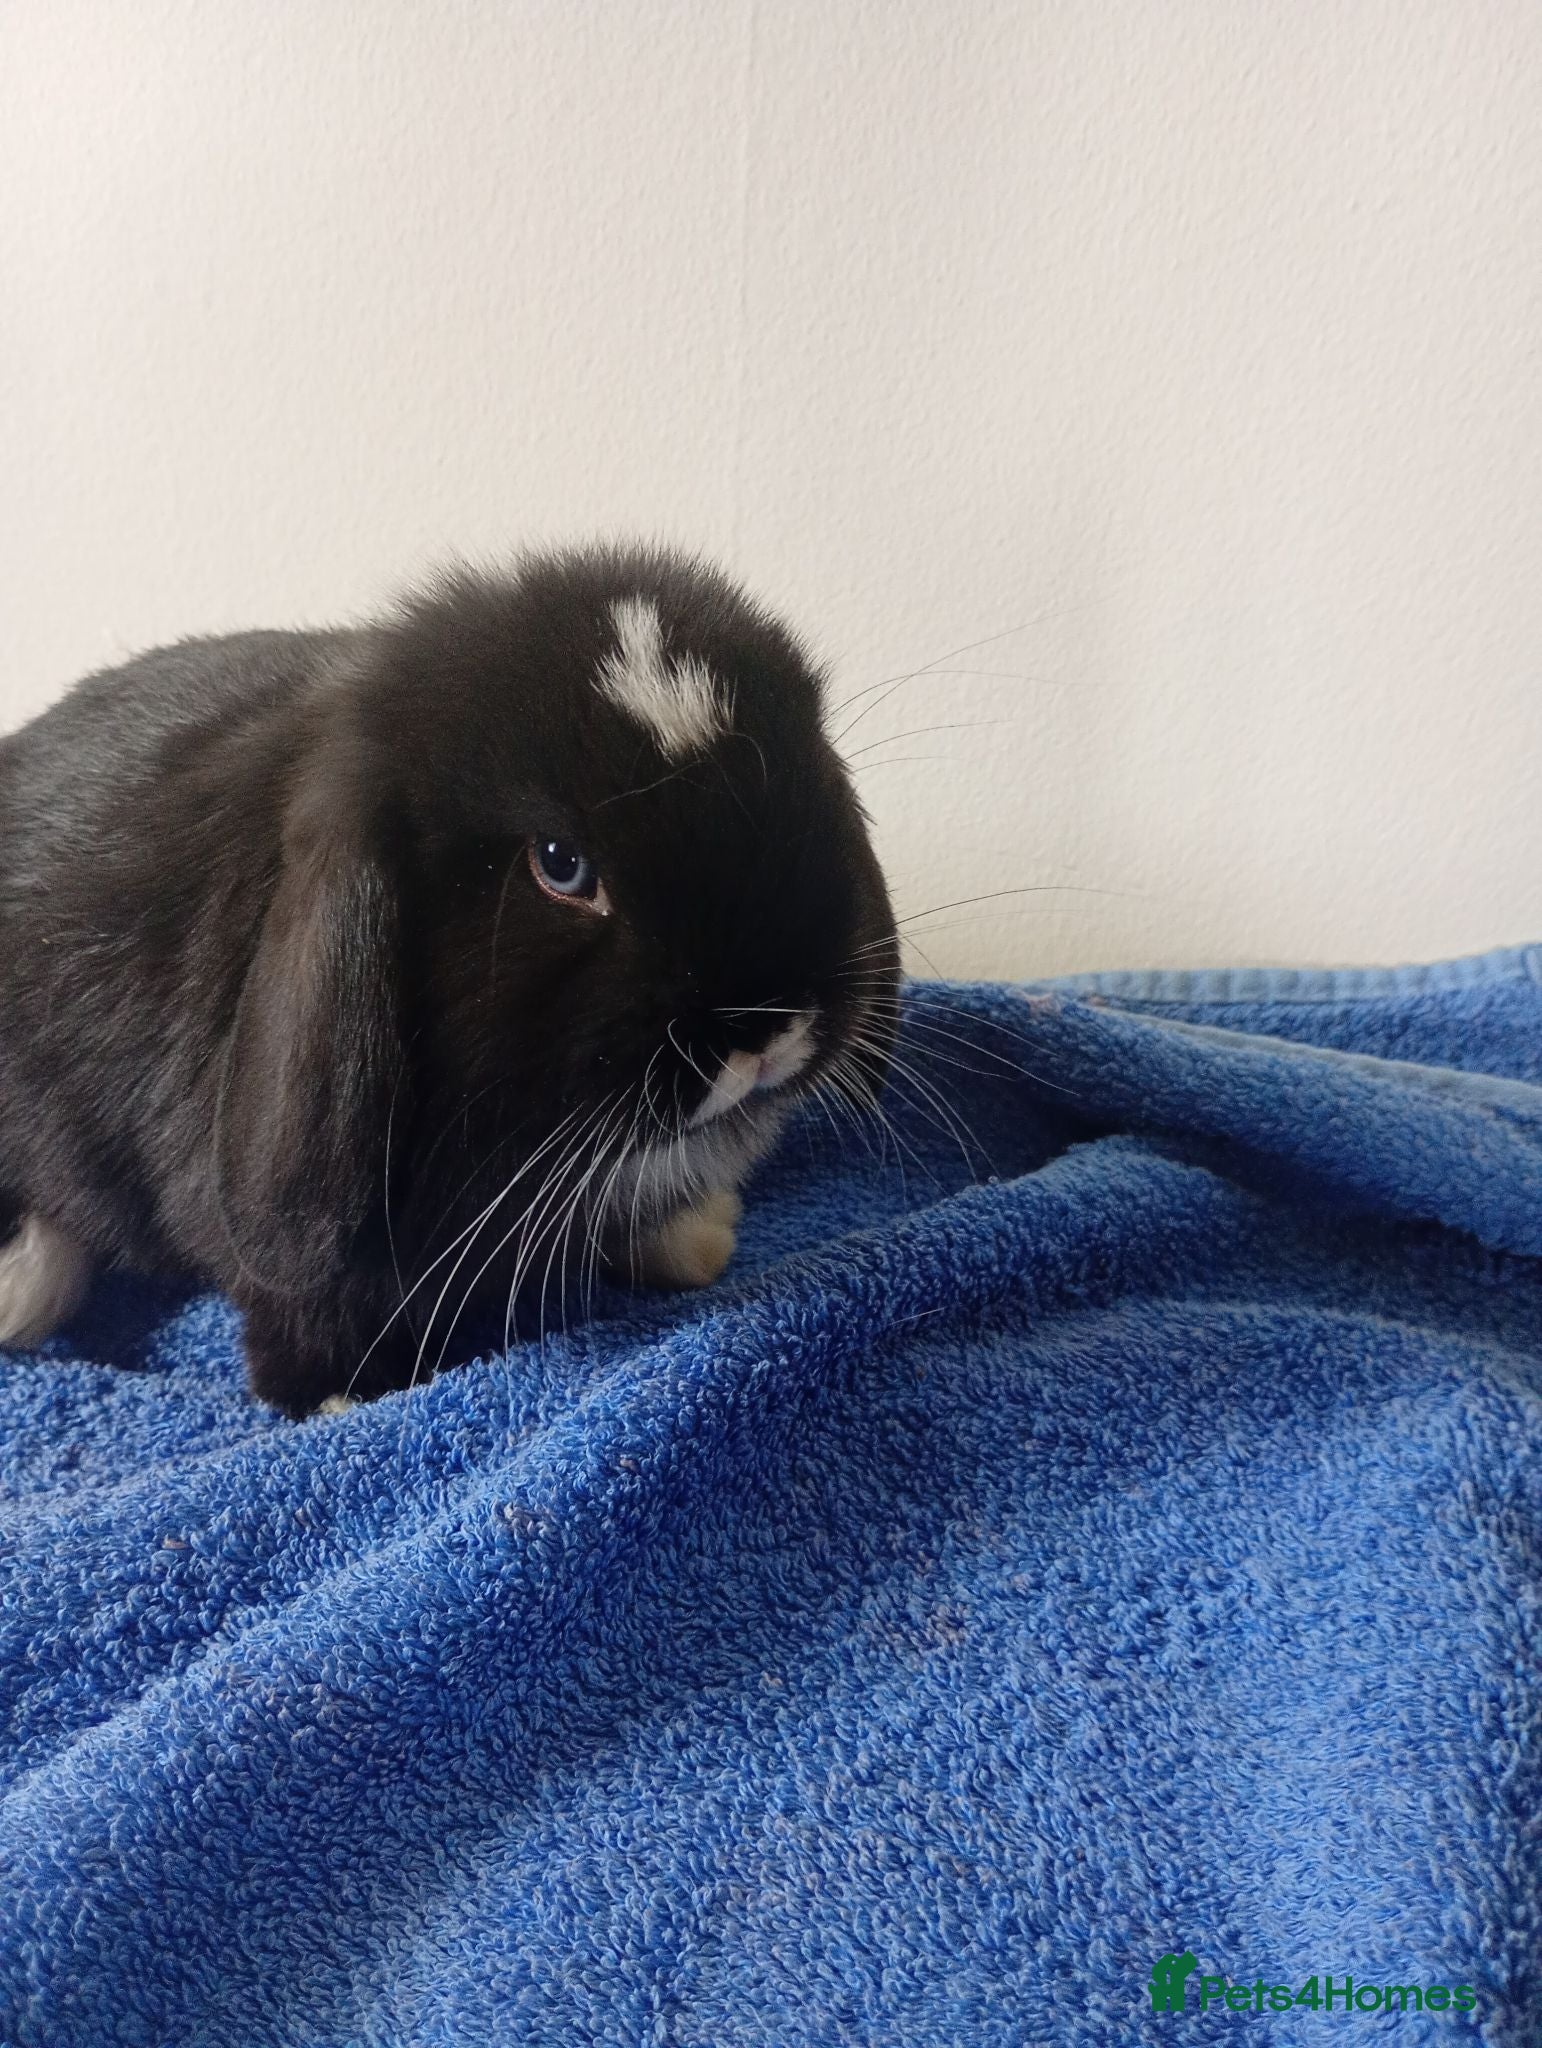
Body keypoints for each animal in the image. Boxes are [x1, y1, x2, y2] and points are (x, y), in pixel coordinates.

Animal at [0, 545, 899, 1415]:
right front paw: (339, 1396)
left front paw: (697, 1240)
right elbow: (305, 1313)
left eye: (808, 788)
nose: (768, 1029)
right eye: (561, 865)